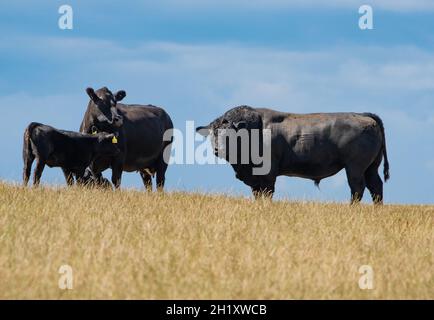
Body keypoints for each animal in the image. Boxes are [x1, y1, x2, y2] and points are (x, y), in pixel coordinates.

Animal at [197, 106, 390, 204]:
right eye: (212, 133)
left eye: (229, 134)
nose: (217, 149)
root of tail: (365, 116)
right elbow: (257, 193)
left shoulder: (267, 174)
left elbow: (267, 192)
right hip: (371, 168)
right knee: (376, 187)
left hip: (354, 168)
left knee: (358, 188)